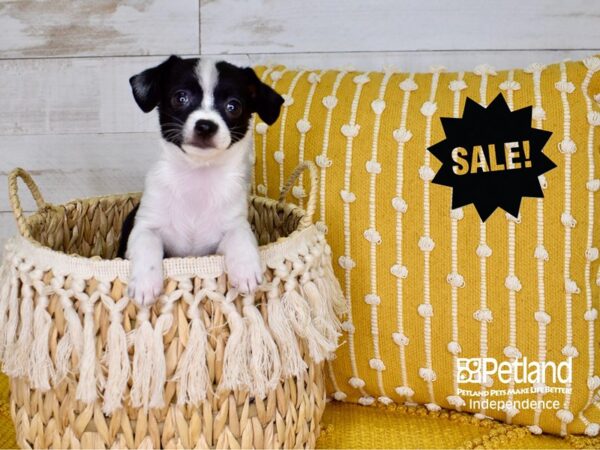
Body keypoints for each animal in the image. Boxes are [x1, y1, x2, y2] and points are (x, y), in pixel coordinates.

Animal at [120, 54, 284, 304]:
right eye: (181, 98)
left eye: (233, 107)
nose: (206, 125)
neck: (198, 176)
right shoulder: (146, 225)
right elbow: (147, 243)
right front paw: (145, 284)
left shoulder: (230, 227)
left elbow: (241, 235)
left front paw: (246, 269)